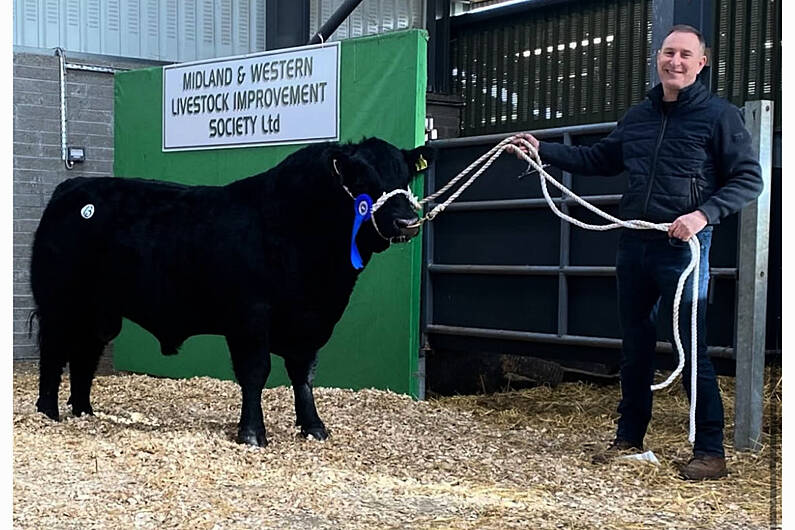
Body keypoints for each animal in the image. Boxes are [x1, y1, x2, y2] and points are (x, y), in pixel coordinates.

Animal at [29, 137, 436, 446]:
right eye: (362, 177)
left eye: (405, 176)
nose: (408, 221)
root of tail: (73, 188)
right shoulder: (250, 317)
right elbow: (256, 372)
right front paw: (252, 433)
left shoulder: (310, 322)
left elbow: (303, 375)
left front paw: (313, 427)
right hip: (58, 303)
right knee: (54, 353)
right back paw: (48, 411)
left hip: (99, 312)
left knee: (85, 355)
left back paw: (84, 411)